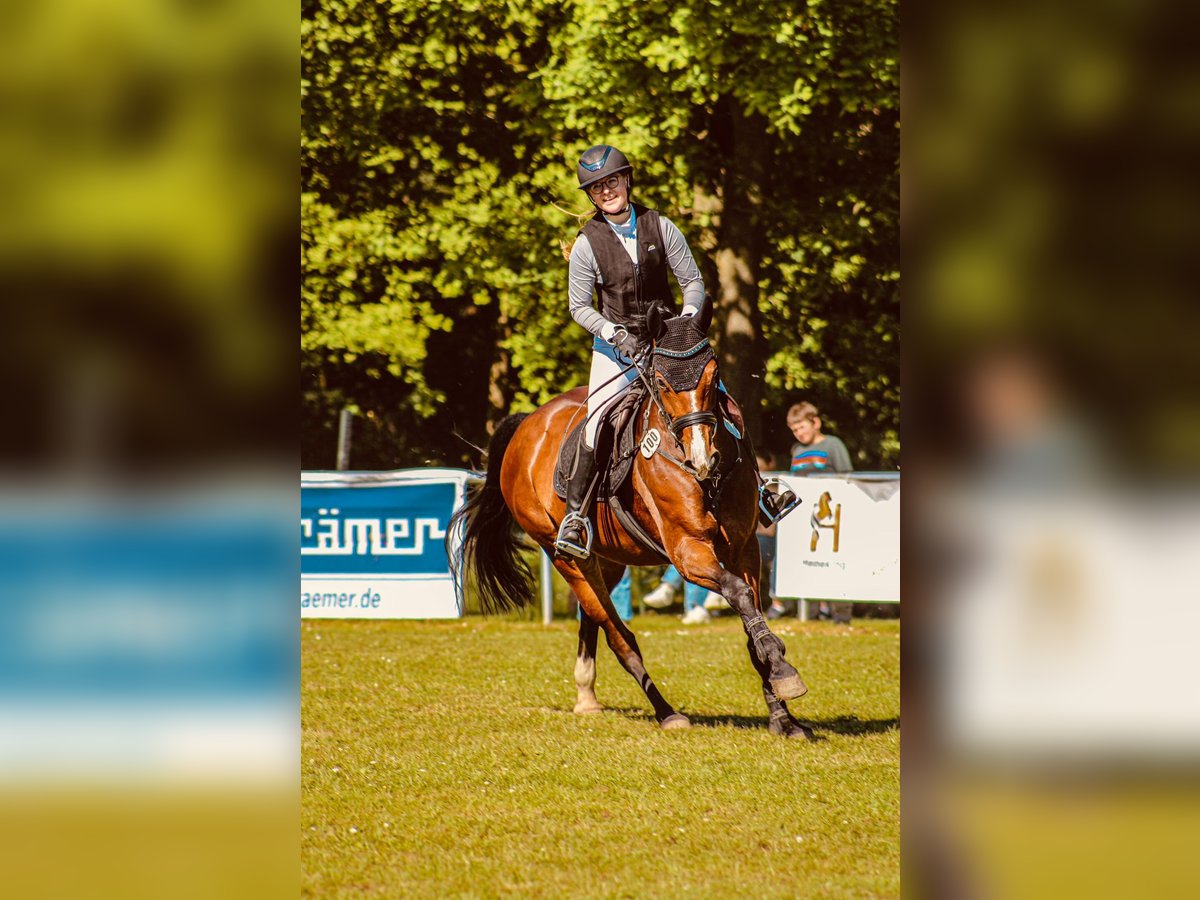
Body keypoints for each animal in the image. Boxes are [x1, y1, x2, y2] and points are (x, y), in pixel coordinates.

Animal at [451, 304, 816, 739]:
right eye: (660, 381)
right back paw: (666, 712)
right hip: (564, 556)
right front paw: (784, 671)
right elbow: (739, 595)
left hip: (607, 560)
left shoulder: (745, 550)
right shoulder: (688, 551)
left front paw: (783, 715)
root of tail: (526, 425)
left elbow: (749, 619)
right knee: (618, 636)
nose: (702, 460)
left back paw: (586, 696)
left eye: (713, 377)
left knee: (591, 619)